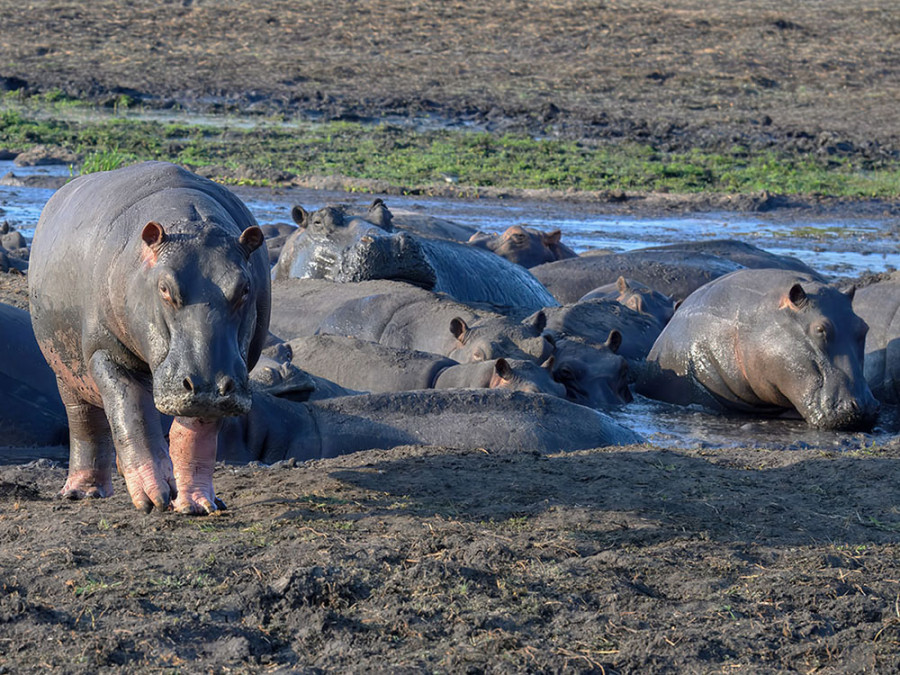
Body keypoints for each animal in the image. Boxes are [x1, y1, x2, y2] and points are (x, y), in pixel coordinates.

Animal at [29, 161, 272, 516]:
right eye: (165, 287)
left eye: (244, 287)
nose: (209, 386)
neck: (190, 222)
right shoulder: (107, 351)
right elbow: (133, 417)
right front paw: (153, 496)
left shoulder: (216, 381)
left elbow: (196, 434)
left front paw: (196, 504)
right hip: (64, 366)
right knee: (85, 420)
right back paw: (80, 492)